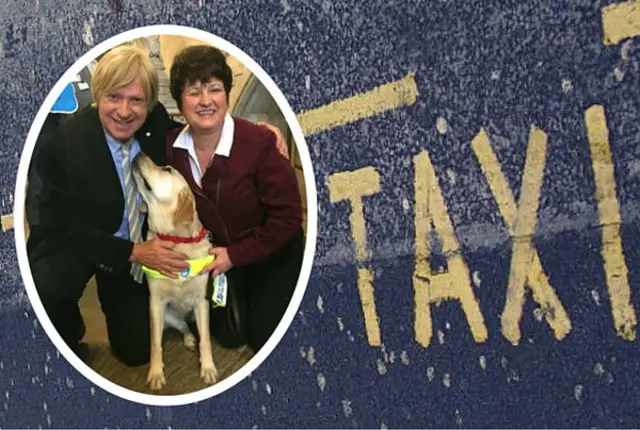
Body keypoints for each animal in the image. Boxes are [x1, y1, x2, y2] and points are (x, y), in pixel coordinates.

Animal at [132, 153, 218, 392]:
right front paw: (155, 372)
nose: (139, 153)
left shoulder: (201, 301)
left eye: (167, 169)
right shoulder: (155, 302)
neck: (175, 240)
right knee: (182, 326)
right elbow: (155, 343)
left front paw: (208, 367)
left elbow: (206, 339)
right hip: (167, 314)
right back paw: (188, 338)